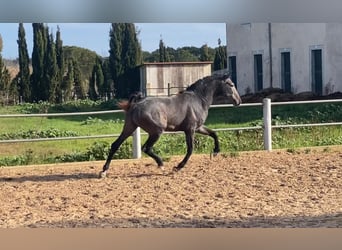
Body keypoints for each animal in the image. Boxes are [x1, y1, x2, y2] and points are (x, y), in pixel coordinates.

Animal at [100, 73, 242, 177]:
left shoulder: (198, 128)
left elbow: (214, 133)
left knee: (115, 145)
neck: (198, 99)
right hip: (156, 131)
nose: (239, 101)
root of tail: (136, 104)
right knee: (146, 148)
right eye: (231, 84)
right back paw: (161, 165)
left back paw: (104, 171)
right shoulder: (190, 130)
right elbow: (190, 149)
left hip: (130, 127)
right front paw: (178, 167)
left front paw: (216, 151)